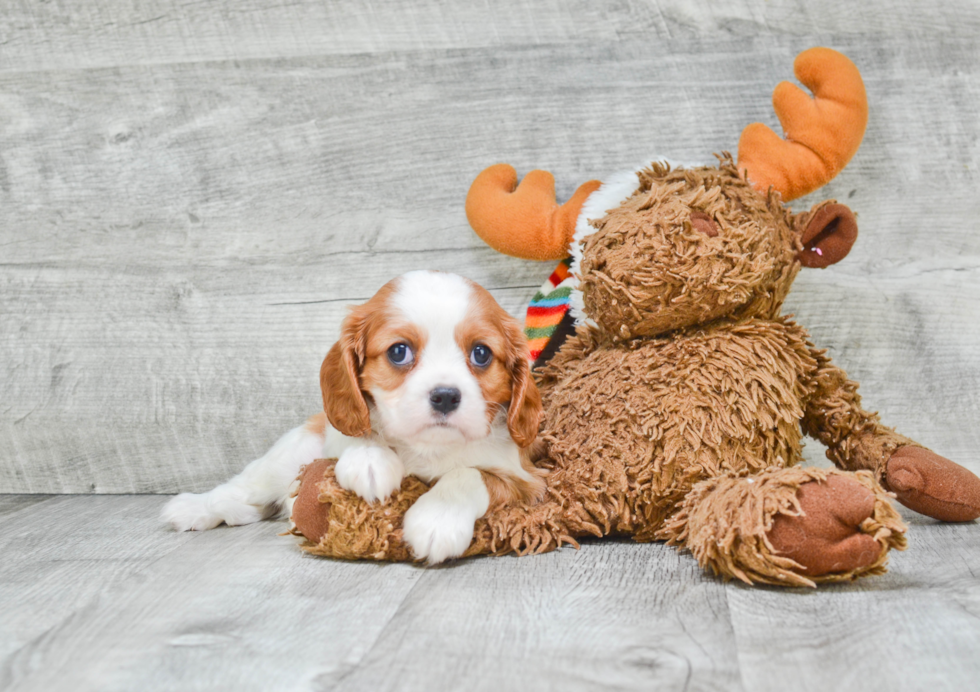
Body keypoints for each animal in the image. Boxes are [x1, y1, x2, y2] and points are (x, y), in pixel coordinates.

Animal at [160, 270, 544, 564]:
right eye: (399, 351)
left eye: (481, 354)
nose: (446, 396)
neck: (428, 447)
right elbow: (356, 434)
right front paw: (370, 461)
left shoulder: (527, 482)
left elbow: (470, 474)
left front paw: (437, 519)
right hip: (288, 455)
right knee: (246, 485)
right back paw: (195, 507)